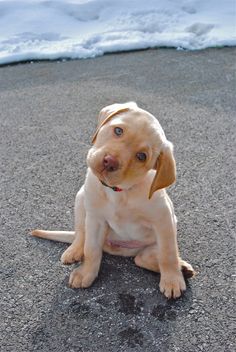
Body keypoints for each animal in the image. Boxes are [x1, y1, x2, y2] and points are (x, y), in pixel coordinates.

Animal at [33, 101, 195, 296]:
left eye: (141, 156)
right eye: (118, 130)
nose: (109, 161)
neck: (119, 191)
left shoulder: (164, 220)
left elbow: (168, 254)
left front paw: (172, 280)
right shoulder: (95, 219)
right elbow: (91, 250)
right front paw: (86, 273)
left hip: (150, 245)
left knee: (144, 258)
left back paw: (182, 268)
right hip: (81, 198)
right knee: (80, 233)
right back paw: (75, 250)